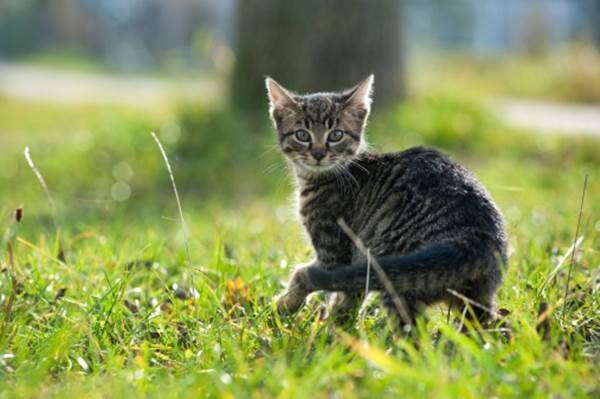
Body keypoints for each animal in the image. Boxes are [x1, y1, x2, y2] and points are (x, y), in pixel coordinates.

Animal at [268, 76, 506, 328]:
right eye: (302, 135)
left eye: (336, 135)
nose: (319, 154)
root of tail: (474, 239)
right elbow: (349, 294)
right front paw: (338, 322)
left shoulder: (333, 251)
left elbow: (311, 279)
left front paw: (289, 308)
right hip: (476, 299)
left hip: (393, 270)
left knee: (410, 329)